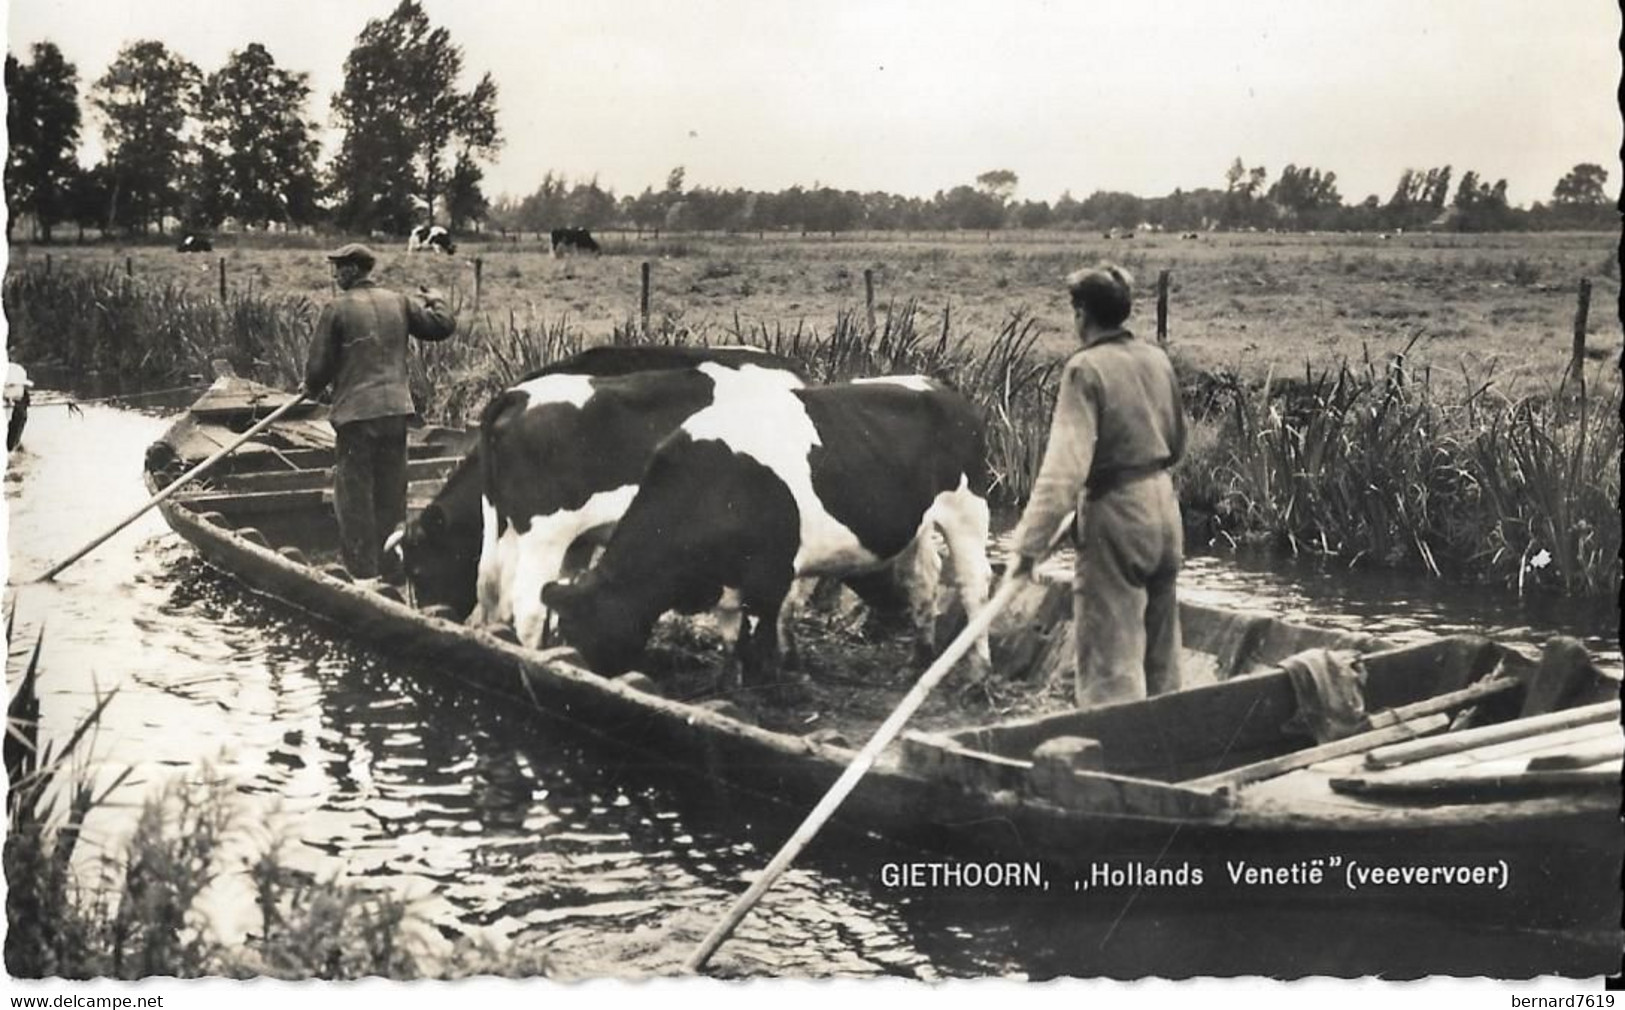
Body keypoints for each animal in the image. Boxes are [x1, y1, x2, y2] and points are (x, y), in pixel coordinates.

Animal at [542, 378, 988, 688]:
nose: (574, 675)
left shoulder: (769, 575)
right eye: (562, 632)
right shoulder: (727, 579)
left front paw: (767, 684)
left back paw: (977, 674)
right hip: (917, 528)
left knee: (973, 587)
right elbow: (729, 635)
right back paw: (918, 660)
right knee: (923, 581)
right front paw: (727, 683)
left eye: (582, 630)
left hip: (968, 513)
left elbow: (759, 633)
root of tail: (941, 388)